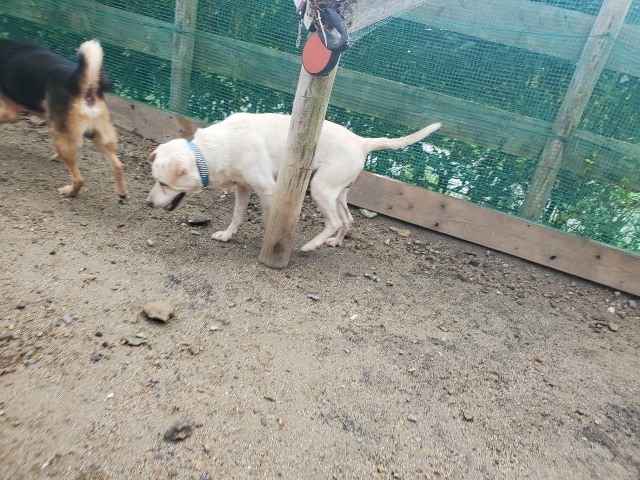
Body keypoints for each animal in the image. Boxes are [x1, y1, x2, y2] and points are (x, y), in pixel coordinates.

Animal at [0, 39, 126, 198]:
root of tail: (85, 86)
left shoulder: (11, 111)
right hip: (101, 138)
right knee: (118, 165)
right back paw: (121, 192)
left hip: (60, 135)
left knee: (79, 179)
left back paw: (69, 191)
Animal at [146, 112, 440, 252]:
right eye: (155, 180)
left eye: (163, 184)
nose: (147, 203)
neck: (212, 151)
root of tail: (361, 141)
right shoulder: (243, 188)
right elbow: (237, 216)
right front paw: (227, 235)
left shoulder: (267, 189)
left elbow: (269, 218)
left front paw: (268, 240)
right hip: (337, 191)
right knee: (347, 219)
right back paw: (334, 242)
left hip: (320, 187)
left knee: (334, 221)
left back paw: (311, 245)